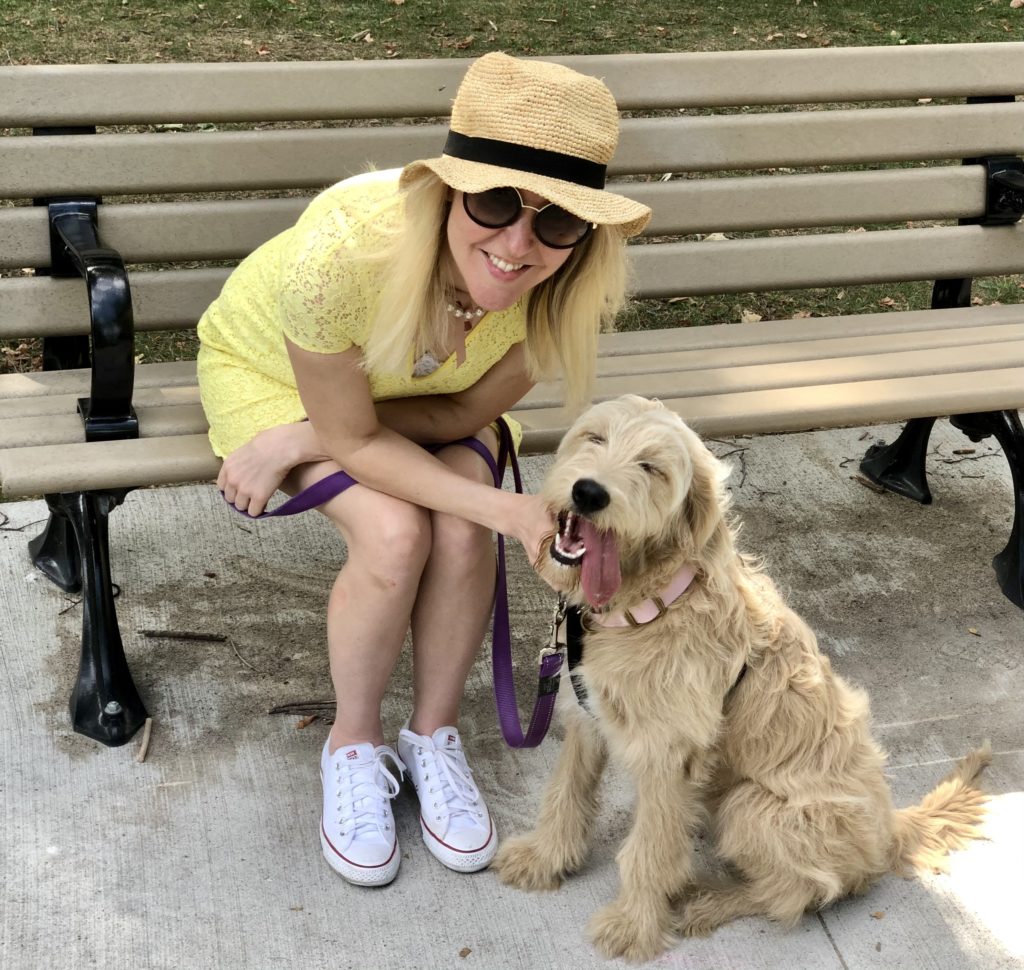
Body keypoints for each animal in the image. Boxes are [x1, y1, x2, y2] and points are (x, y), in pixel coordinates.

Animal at [495, 395, 991, 962]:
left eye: (651, 468)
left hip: (752, 807)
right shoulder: (587, 717)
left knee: (791, 894)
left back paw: (712, 900)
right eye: (595, 438)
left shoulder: (668, 756)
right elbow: (564, 794)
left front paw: (634, 925)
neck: (652, 602)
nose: (588, 492)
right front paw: (544, 859)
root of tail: (889, 826)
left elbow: (649, 849)